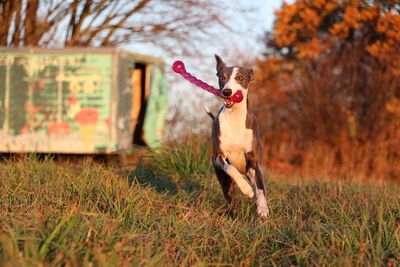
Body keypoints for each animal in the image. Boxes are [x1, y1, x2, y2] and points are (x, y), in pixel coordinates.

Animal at [205, 54, 270, 220]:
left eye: (240, 77)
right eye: (222, 77)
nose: (227, 91)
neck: (234, 118)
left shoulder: (254, 161)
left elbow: (260, 189)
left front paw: (263, 209)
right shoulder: (219, 156)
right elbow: (231, 168)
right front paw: (246, 188)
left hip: (250, 171)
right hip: (224, 181)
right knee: (230, 197)